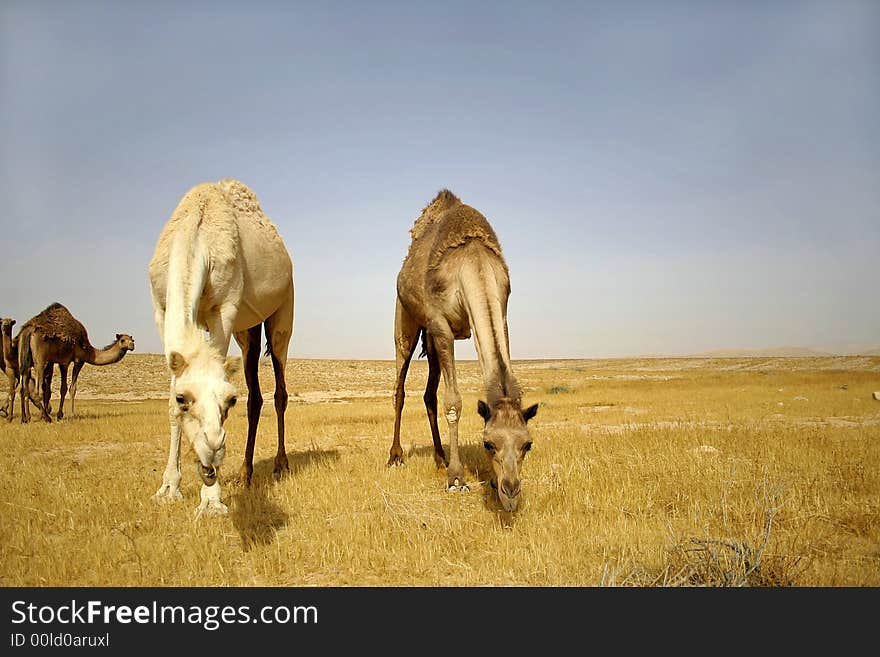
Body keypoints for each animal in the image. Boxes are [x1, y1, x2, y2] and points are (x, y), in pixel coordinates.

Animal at [146, 178, 294, 516]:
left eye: (230, 399)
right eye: (183, 398)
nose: (212, 449)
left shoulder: (225, 307)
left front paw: (211, 501)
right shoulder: (161, 308)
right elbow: (170, 402)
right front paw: (168, 488)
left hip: (283, 311)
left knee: (279, 386)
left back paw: (280, 464)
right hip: (247, 328)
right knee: (256, 394)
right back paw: (245, 473)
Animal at [390, 187, 540, 510]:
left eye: (527, 443)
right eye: (488, 443)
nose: (510, 490)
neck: (474, 261)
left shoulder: (500, 315)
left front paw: (482, 478)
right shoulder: (440, 324)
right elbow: (453, 402)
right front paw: (456, 479)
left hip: (431, 340)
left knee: (428, 394)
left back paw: (439, 458)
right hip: (406, 320)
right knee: (400, 387)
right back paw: (395, 457)